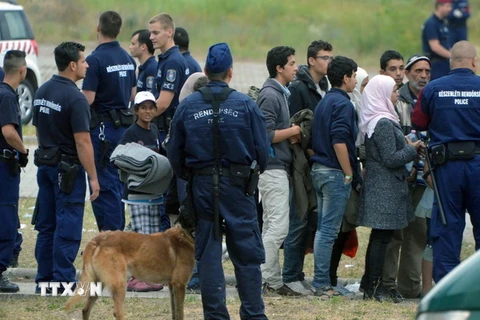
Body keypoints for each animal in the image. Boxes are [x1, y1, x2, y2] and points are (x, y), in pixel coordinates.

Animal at [65, 226, 195, 318]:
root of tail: (97, 239)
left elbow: (174, 313)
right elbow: (179, 313)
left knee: (85, 310)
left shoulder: (172, 286)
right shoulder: (179, 285)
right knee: (117, 313)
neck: (185, 233)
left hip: (98, 284)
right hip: (120, 284)